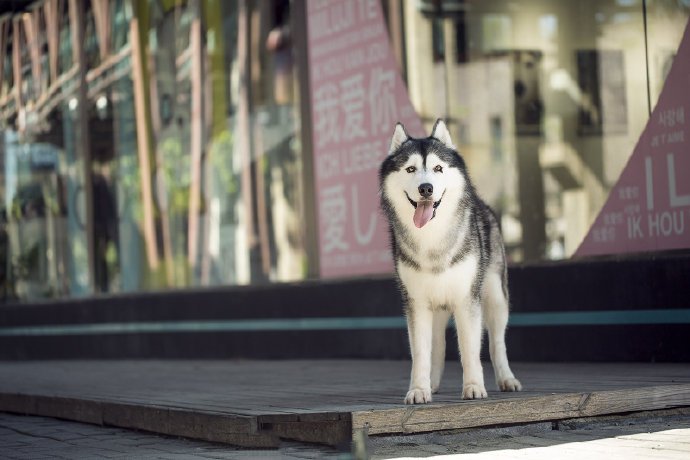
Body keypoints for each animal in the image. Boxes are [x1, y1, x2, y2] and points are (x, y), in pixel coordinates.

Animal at [378, 118, 520, 402]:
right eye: (411, 168)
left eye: (437, 168)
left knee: (497, 343)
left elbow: (470, 349)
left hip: (496, 297)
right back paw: (431, 383)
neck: (432, 238)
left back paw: (506, 379)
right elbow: (421, 352)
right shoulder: (417, 303)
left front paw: (474, 387)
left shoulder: (467, 300)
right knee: (438, 345)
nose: (426, 188)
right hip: (436, 307)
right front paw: (418, 389)